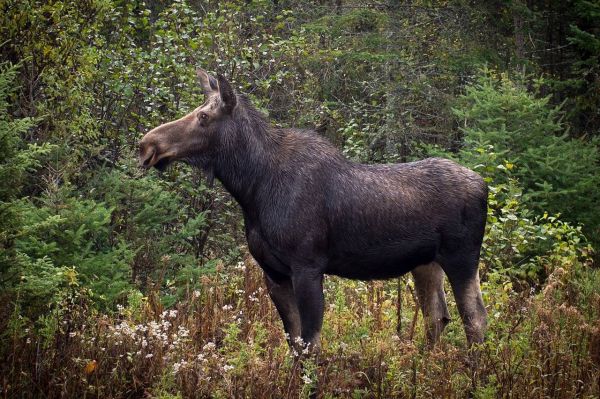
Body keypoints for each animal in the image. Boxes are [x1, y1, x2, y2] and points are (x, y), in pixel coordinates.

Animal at [139, 69, 488, 354]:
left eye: (203, 117)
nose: (147, 144)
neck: (252, 188)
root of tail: (485, 185)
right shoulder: (274, 273)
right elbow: (294, 343)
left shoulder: (307, 266)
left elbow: (310, 345)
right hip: (426, 263)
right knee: (438, 317)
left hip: (462, 258)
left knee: (475, 320)